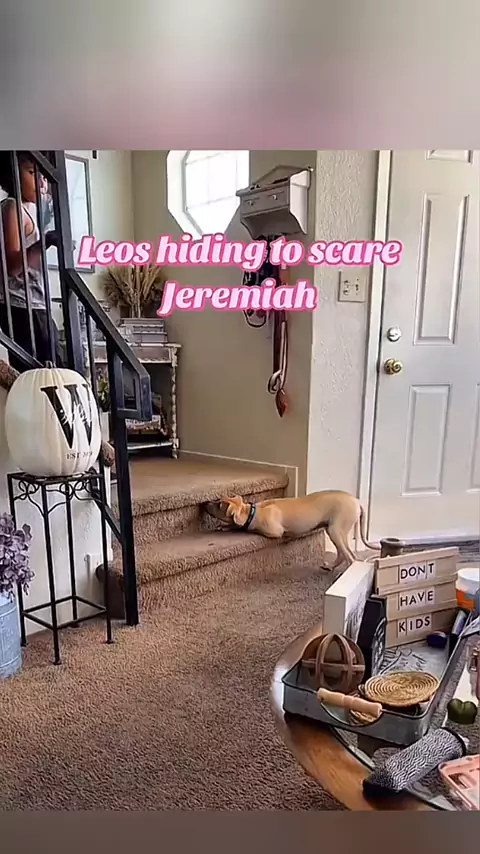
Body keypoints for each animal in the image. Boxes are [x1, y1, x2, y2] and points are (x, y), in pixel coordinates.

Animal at [208, 491, 379, 570]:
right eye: (218, 500)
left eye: (218, 505)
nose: (205, 503)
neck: (251, 511)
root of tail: (357, 501)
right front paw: (224, 526)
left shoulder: (274, 531)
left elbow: (251, 529)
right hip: (335, 531)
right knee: (343, 554)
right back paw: (330, 566)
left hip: (336, 530)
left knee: (350, 556)